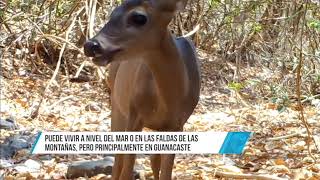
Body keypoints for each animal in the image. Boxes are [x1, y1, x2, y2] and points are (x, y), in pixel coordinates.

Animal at [84, 0, 201, 180]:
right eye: (112, 13)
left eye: (139, 17)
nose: (90, 45)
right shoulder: (134, 113)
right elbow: (126, 169)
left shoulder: (177, 124)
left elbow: (165, 171)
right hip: (117, 105)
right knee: (118, 161)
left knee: (152, 159)